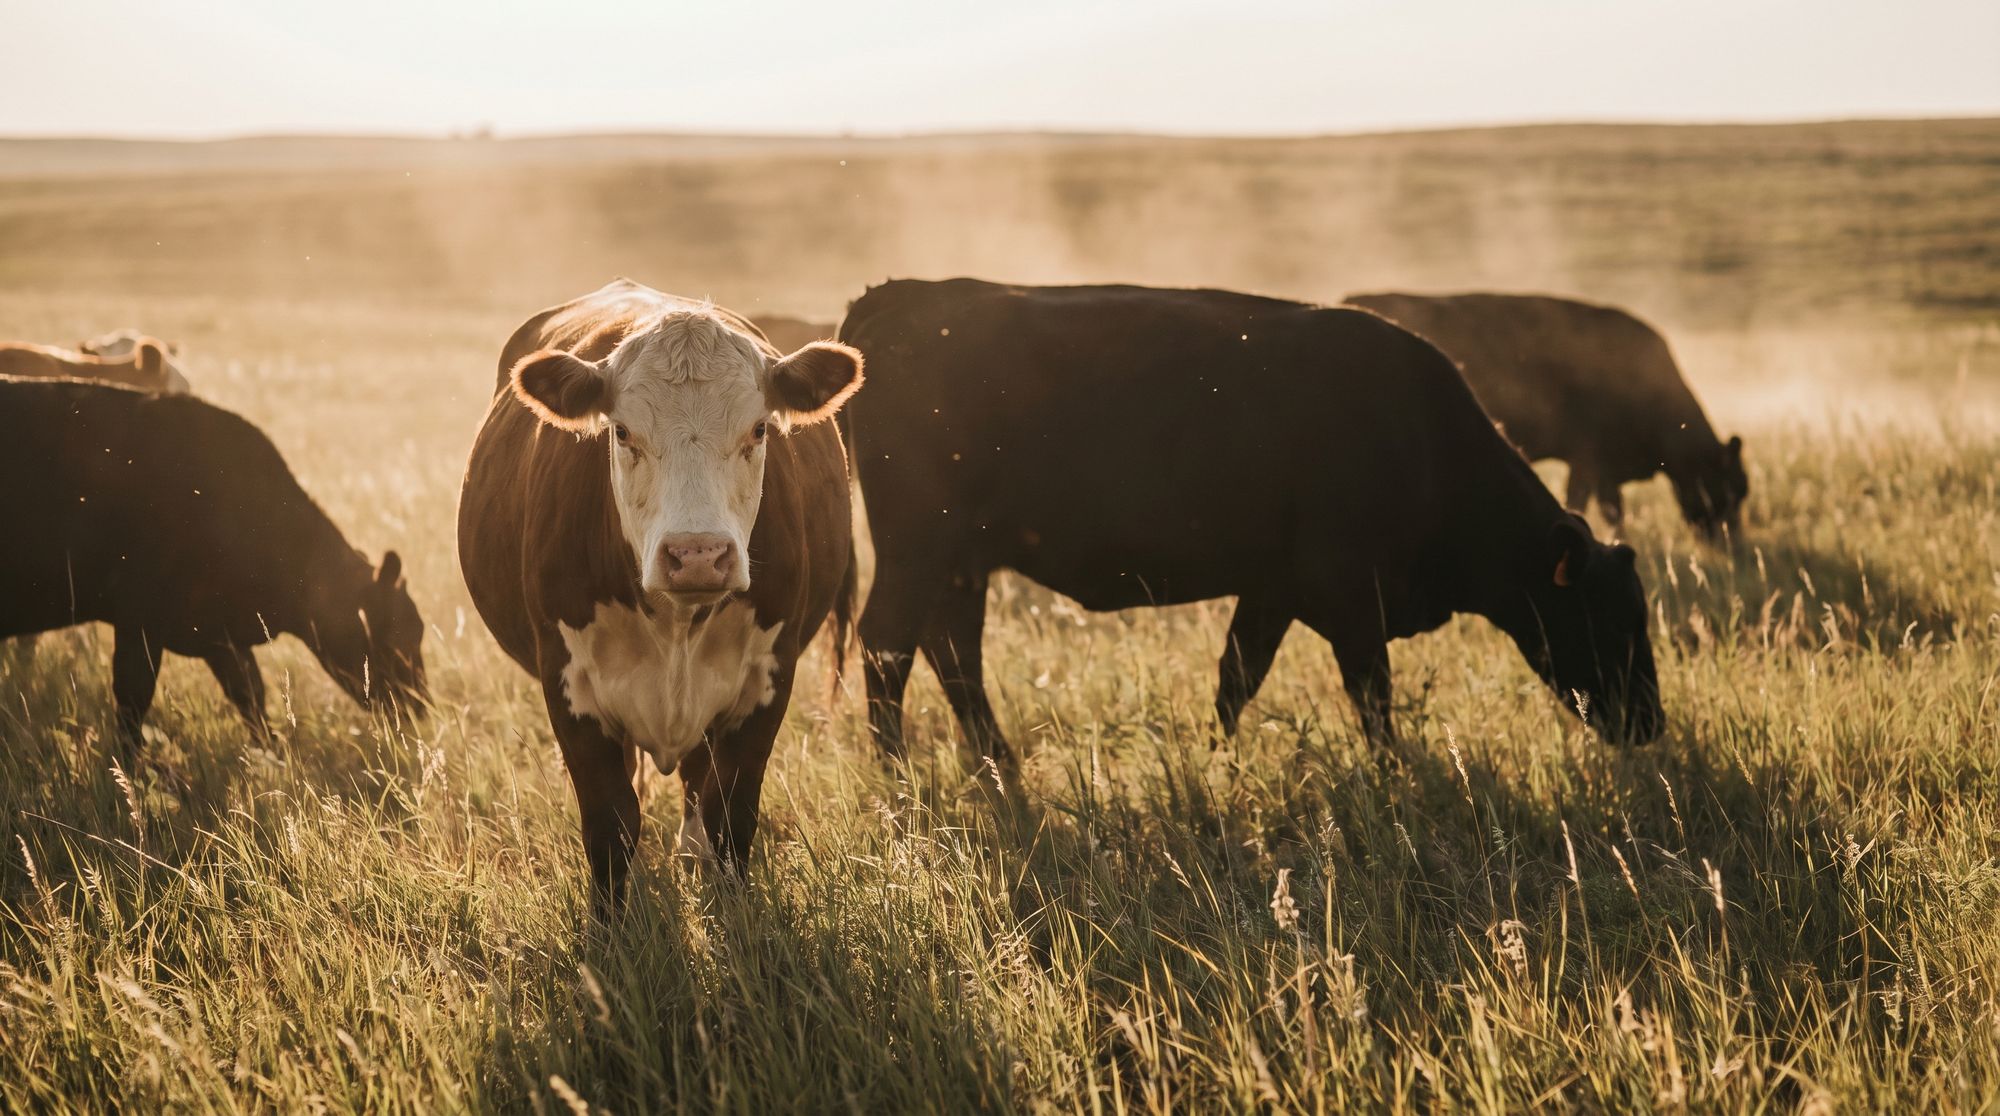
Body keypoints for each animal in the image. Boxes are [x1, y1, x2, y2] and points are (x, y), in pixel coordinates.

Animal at [0, 378, 428, 742]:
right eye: (398, 638)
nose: (420, 707)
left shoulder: (216, 632)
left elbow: (251, 696)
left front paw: (273, 758)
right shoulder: (141, 619)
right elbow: (133, 701)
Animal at [458, 279, 862, 909]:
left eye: (759, 429)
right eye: (622, 432)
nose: (697, 554)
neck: (675, 622)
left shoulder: (769, 677)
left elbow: (729, 813)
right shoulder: (567, 682)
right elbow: (611, 821)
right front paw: (610, 923)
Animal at [837, 279, 1664, 767]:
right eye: (1609, 621)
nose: (1651, 725)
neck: (1425, 439)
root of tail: (898, 299)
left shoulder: (1272, 591)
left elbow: (1237, 679)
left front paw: (1214, 760)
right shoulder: (1349, 600)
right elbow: (1372, 695)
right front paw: (1390, 772)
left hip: (958, 563)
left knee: (952, 652)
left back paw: (997, 765)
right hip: (918, 552)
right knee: (890, 646)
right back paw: (897, 774)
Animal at [1343, 292, 1746, 541]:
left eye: (1743, 492)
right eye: (1726, 489)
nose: (1733, 547)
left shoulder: (1601, 467)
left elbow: (1609, 508)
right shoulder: (1587, 458)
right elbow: (1593, 505)